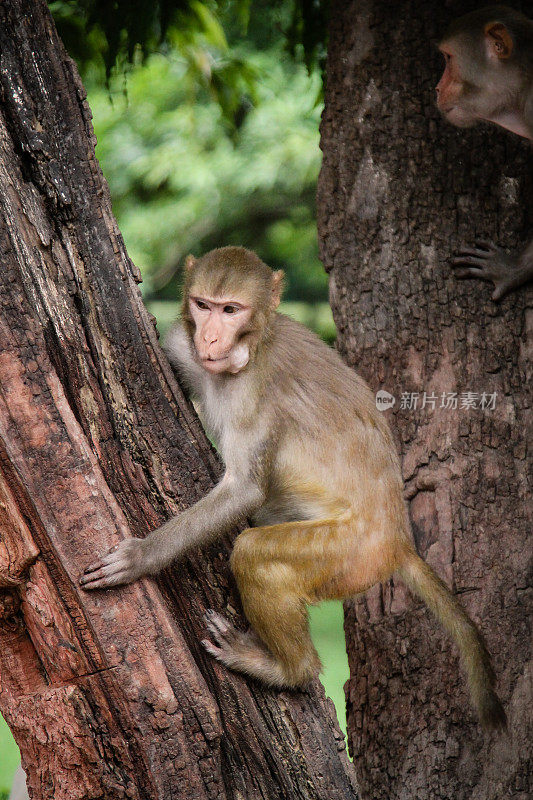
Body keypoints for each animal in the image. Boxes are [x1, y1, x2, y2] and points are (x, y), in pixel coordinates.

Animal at [81, 248, 504, 732]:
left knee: (256, 555)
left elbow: (244, 490)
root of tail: (400, 541)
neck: (249, 352)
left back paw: (288, 670)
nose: (210, 338)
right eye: (203, 305)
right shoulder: (182, 348)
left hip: (350, 555)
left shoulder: (259, 391)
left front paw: (140, 556)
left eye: (232, 310)